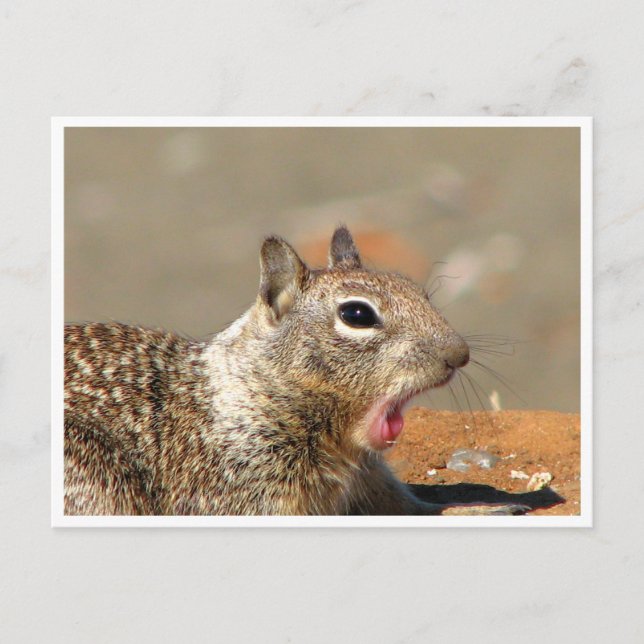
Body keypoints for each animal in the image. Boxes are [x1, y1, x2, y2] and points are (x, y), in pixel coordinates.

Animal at [64, 226, 527, 516]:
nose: (459, 354)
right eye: (357, 314)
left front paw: (484, 507)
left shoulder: (371, 480)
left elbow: (416, 507)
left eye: (418, 292)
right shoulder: (244, 489)